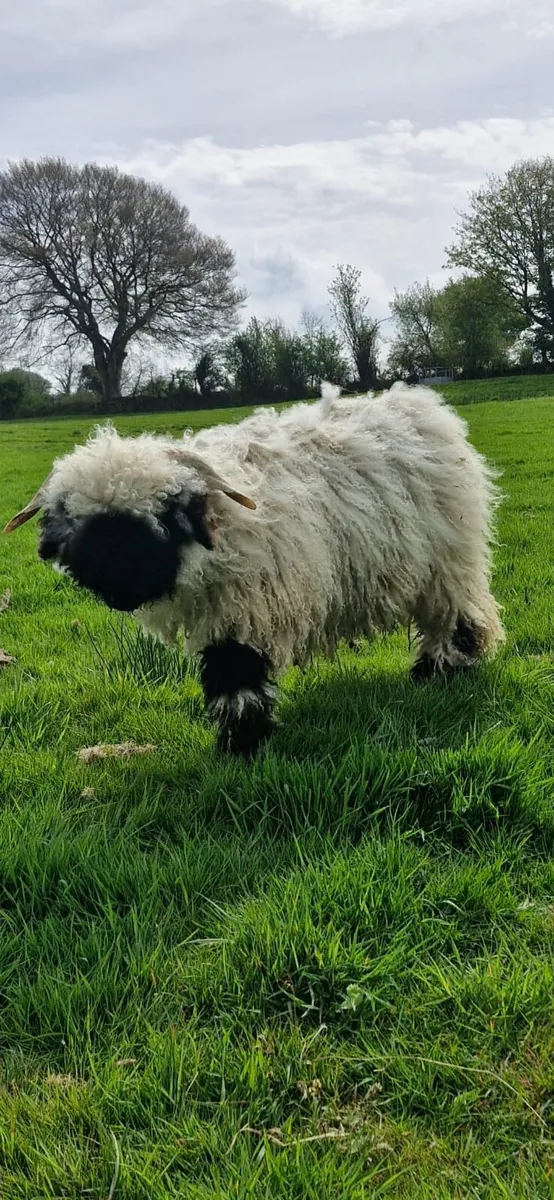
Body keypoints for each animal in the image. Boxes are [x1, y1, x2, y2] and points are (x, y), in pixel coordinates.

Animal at [4, 383, 504, 754]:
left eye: (157, 522)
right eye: (84, 531)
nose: (118, 593)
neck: (217, 537)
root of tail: (418, 404)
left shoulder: (246, 607)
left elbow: (236, 675)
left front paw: (242, 745)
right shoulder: (222, 611)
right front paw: (240, 740)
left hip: (447, 560)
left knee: (456, 617)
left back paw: (441, 672)